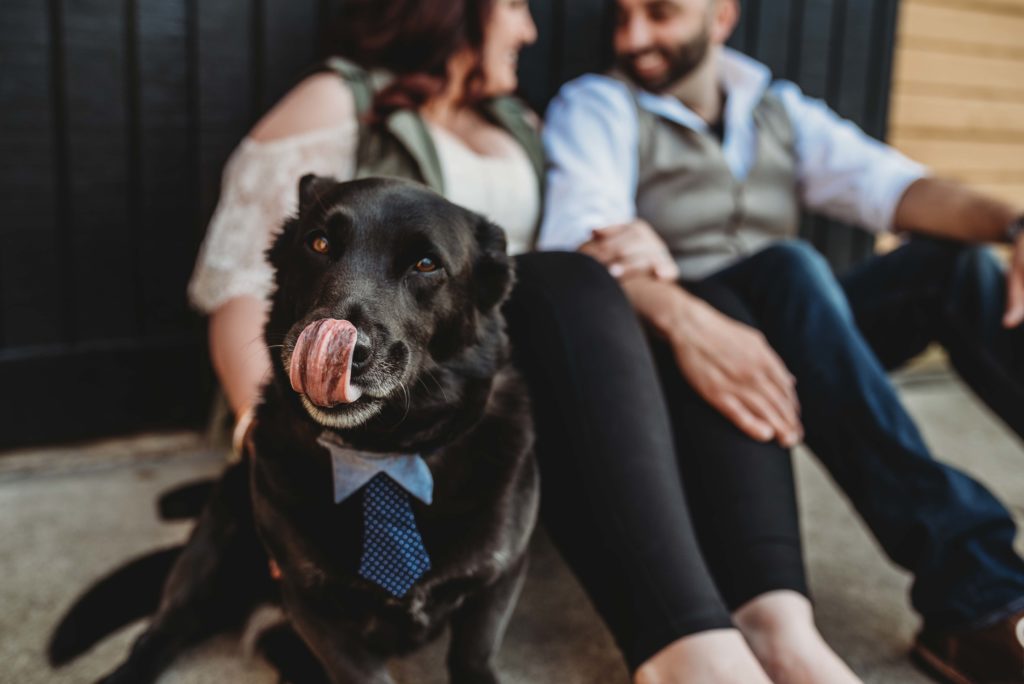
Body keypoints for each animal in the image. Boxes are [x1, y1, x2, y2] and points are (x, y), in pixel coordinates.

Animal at [49, 178, 536, 684]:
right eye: (318, 243)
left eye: (426, 264)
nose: (344, 349)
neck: (380, 453)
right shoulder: (315, 608)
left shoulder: (499, 580)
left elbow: (473, 655)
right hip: (216, 540)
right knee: (161, 632)